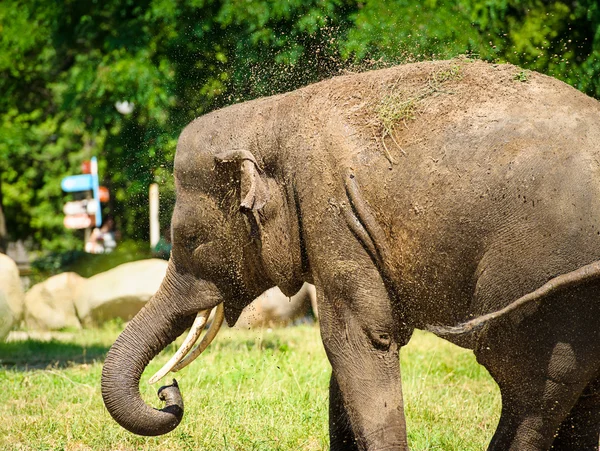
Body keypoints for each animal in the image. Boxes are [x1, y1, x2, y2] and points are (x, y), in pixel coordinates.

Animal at [101, 61, 600, 451]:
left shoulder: (333, 217)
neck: (273, 116)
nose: (168, 390)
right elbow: (347, 352)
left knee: (531, 389)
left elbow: (355, 339)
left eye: (188, 240)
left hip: (538, 273)